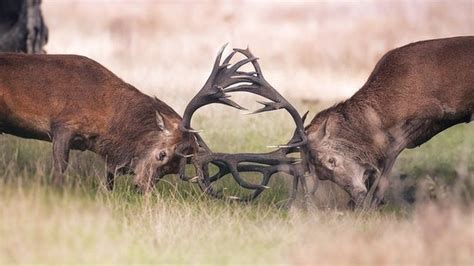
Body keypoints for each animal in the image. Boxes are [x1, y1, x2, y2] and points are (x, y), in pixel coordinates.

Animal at [306, 35, 472, 208]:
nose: (356, 198)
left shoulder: (431, 112)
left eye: (331, 160)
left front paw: (376, 200)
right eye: (322, 176)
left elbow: (391, 150)